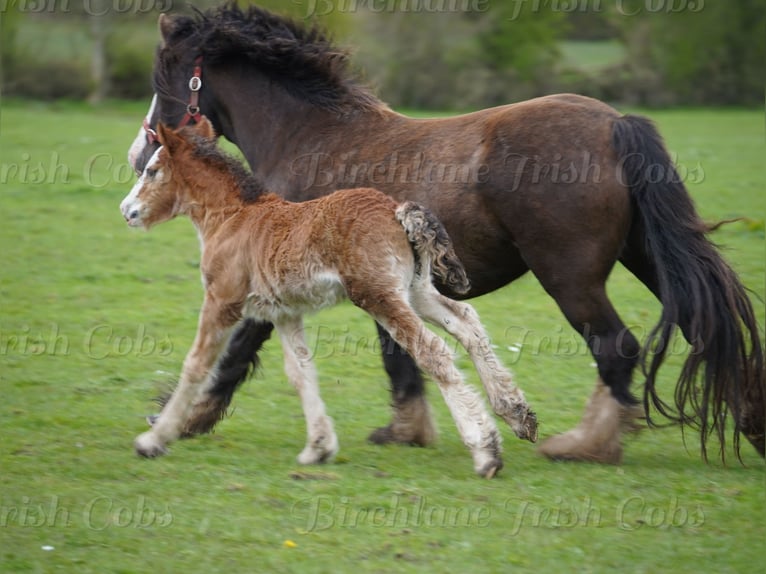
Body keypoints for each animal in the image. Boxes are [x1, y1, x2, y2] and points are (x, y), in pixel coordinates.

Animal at [119, 117, 539, 477]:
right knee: (466, 322)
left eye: (152, 170)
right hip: (414, 291)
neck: (233, 216)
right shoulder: (283, 312)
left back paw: (486, 452)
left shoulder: (223, 301)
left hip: (378, 294)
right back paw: (518, 414)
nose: (127, 210)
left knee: (433, 350)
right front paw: (318, 448)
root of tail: (397, 210)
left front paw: (153, 440)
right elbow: (301, 372)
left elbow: (196, 364)